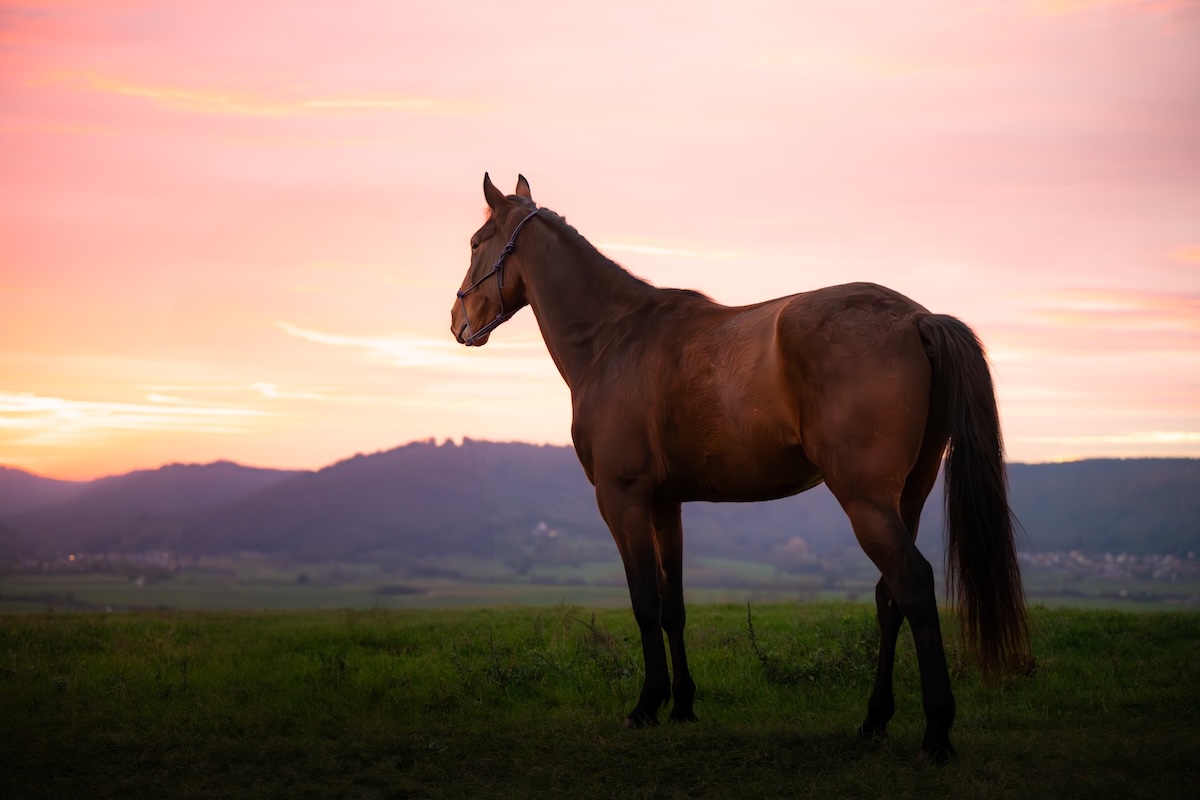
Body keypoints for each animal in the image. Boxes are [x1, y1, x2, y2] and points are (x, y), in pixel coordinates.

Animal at [450, 174, 1029, 762]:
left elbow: (643, 601)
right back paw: (875, 719)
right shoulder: (666, 504)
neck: (615, 341)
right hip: (907, 495)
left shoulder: (622, 498)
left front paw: (647, 705)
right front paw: (682, 704)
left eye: (475, 242)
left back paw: (937, 731)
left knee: (911, 582)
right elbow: (673, 605)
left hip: (864, 499)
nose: (458, 321)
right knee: (890, 595)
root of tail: (916, 319)